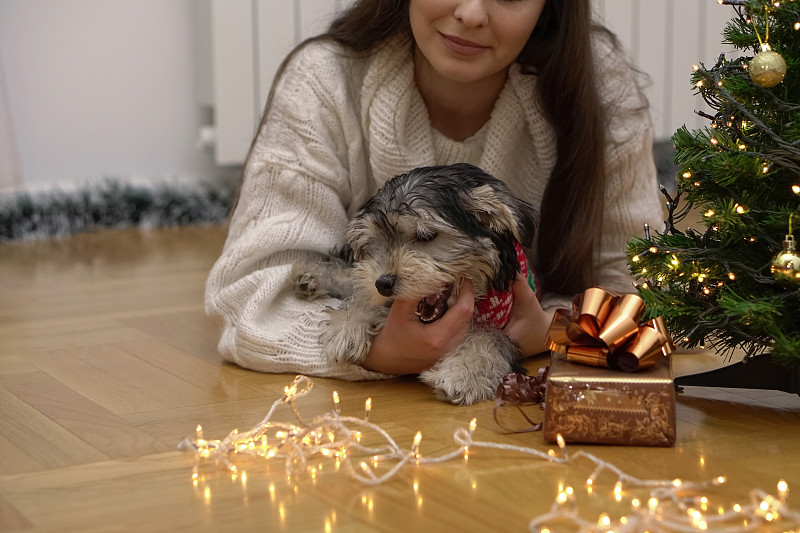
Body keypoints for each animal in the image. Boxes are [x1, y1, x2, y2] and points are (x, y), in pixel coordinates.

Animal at [292, 162, 536, 404]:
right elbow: (365, 294)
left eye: (426, 235)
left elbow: (491, 338)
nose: (383, 283)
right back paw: (311, 276)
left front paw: (462, 372)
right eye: (375, 242)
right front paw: (347, 327)